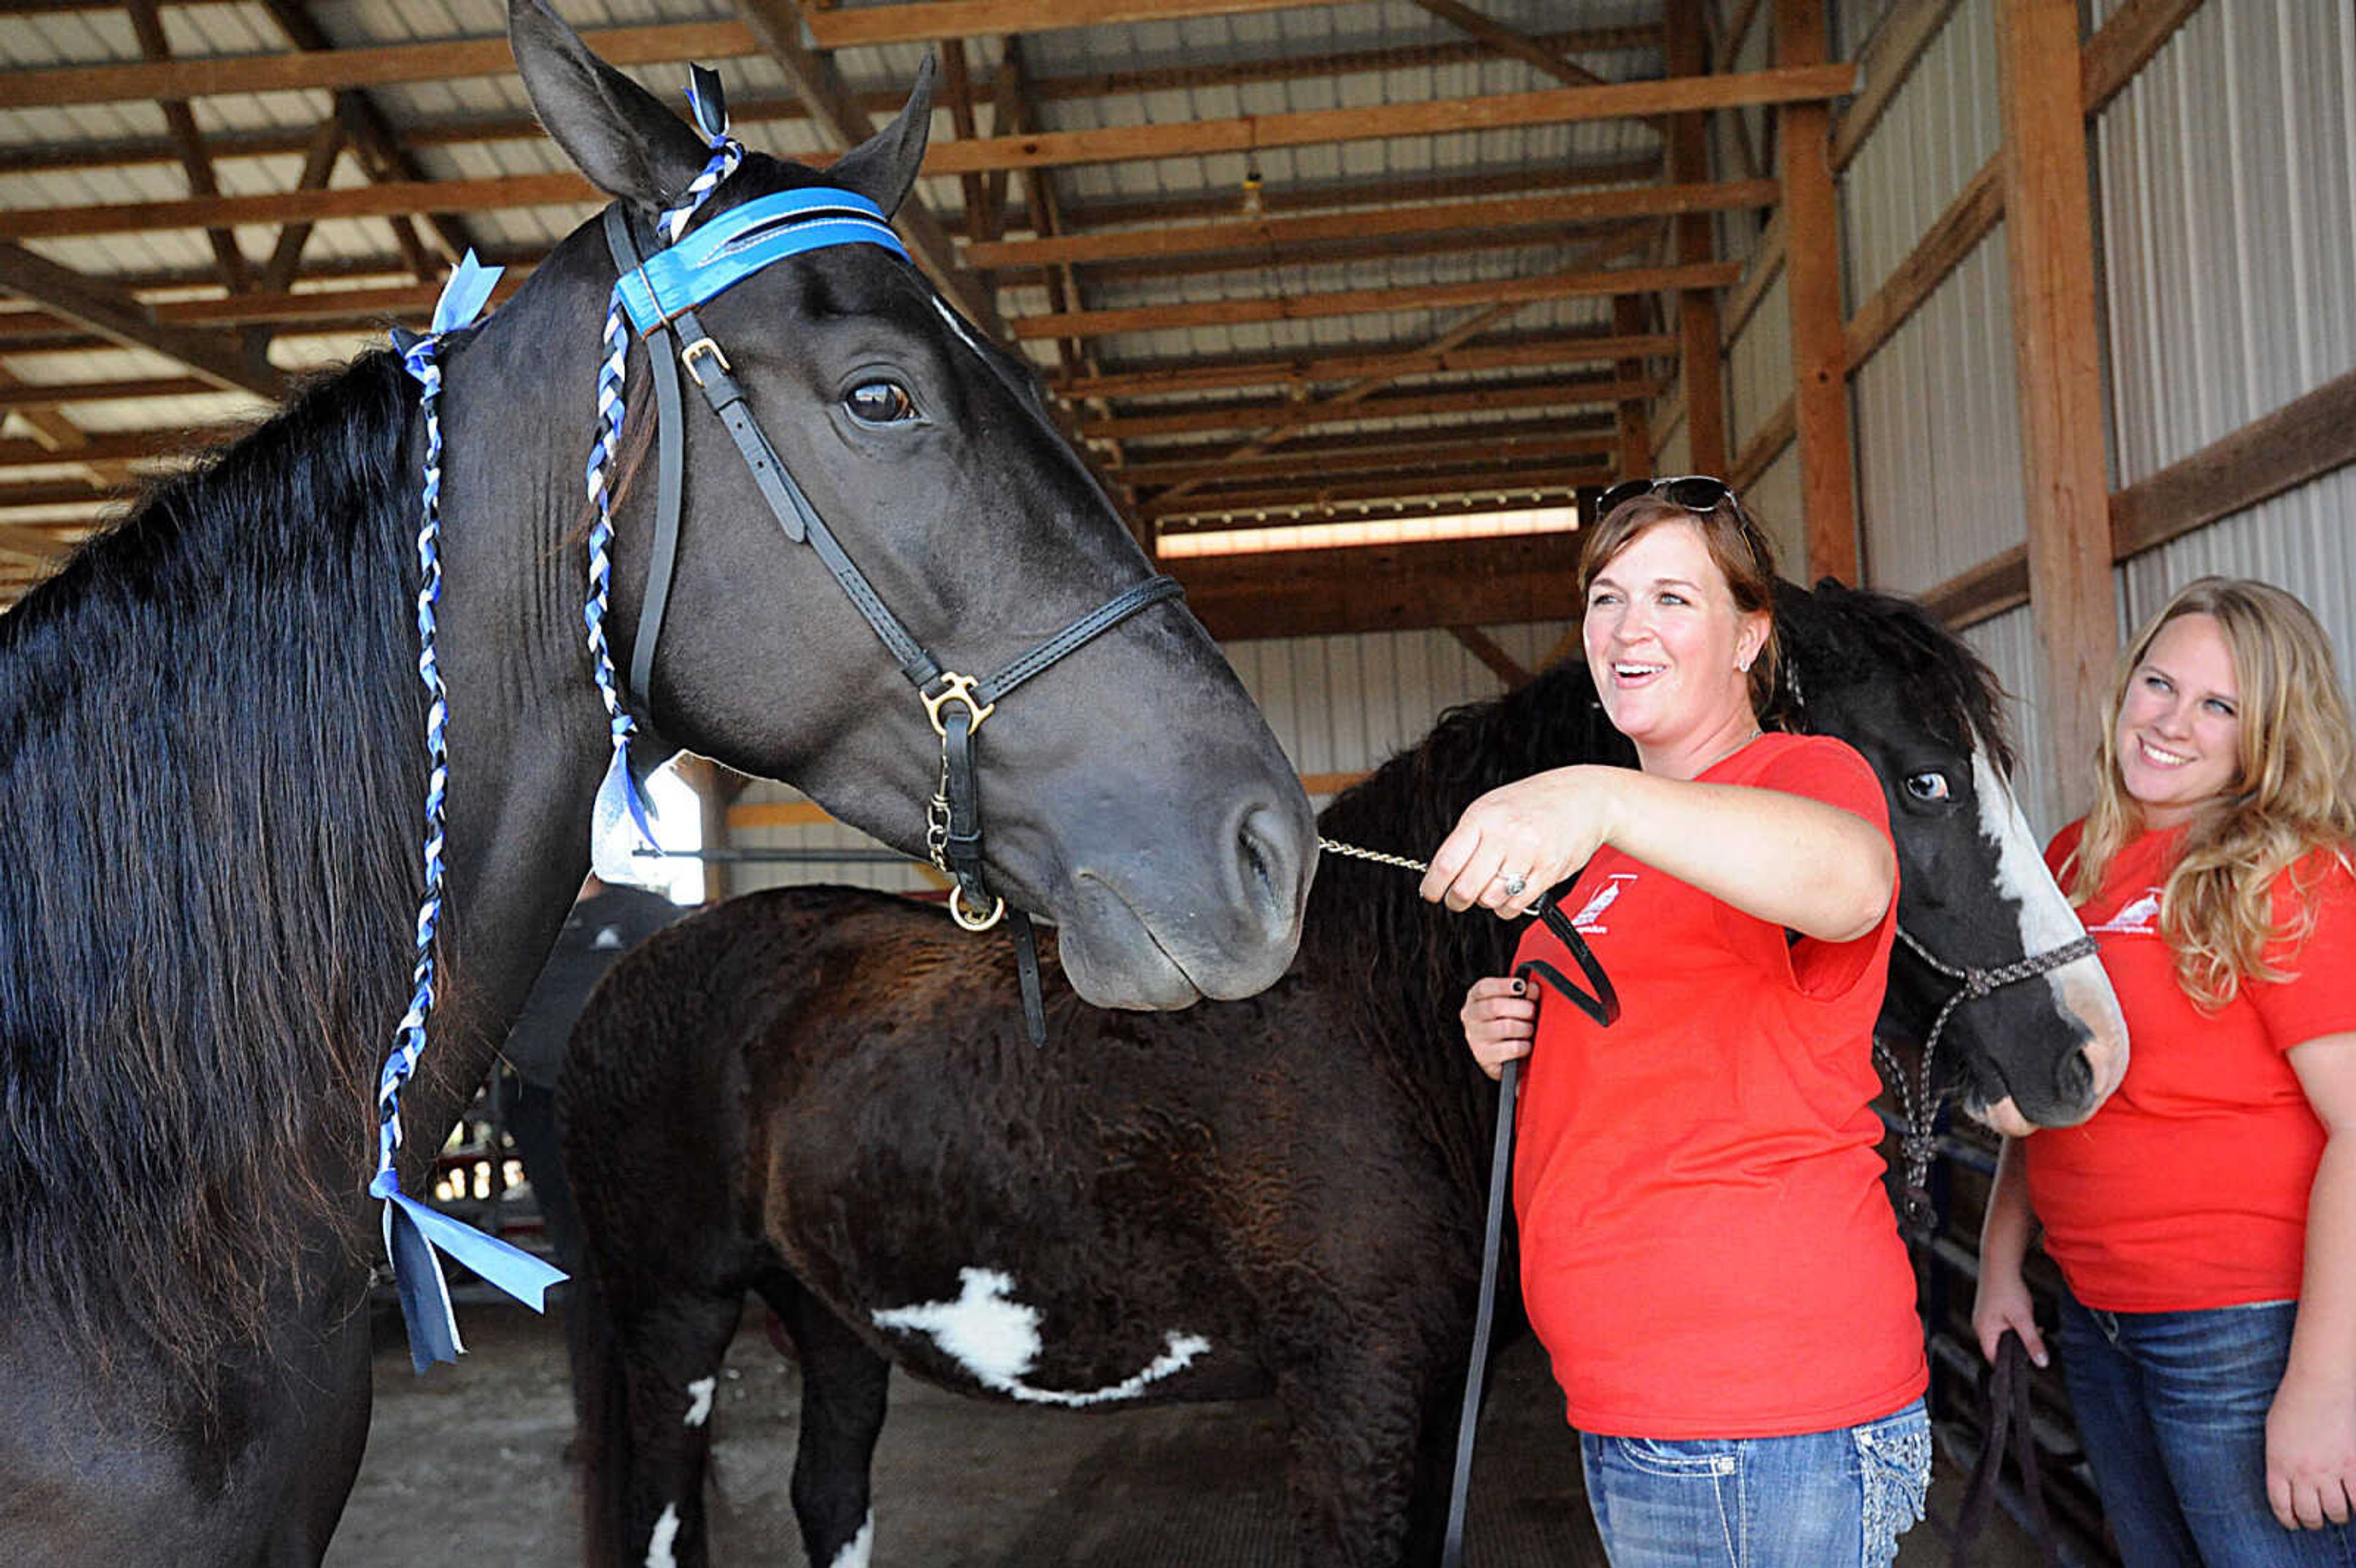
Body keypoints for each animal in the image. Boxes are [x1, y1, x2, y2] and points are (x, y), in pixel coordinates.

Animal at [556, 577, 2139, 1563]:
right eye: (1917, 782)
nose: (2083, 1056)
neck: (1385, 1022)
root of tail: (627, 976)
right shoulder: (1351, 1395)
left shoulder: (1430, 1394)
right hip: (674, 1318)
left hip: (829, 1321)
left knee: (829, 1494)